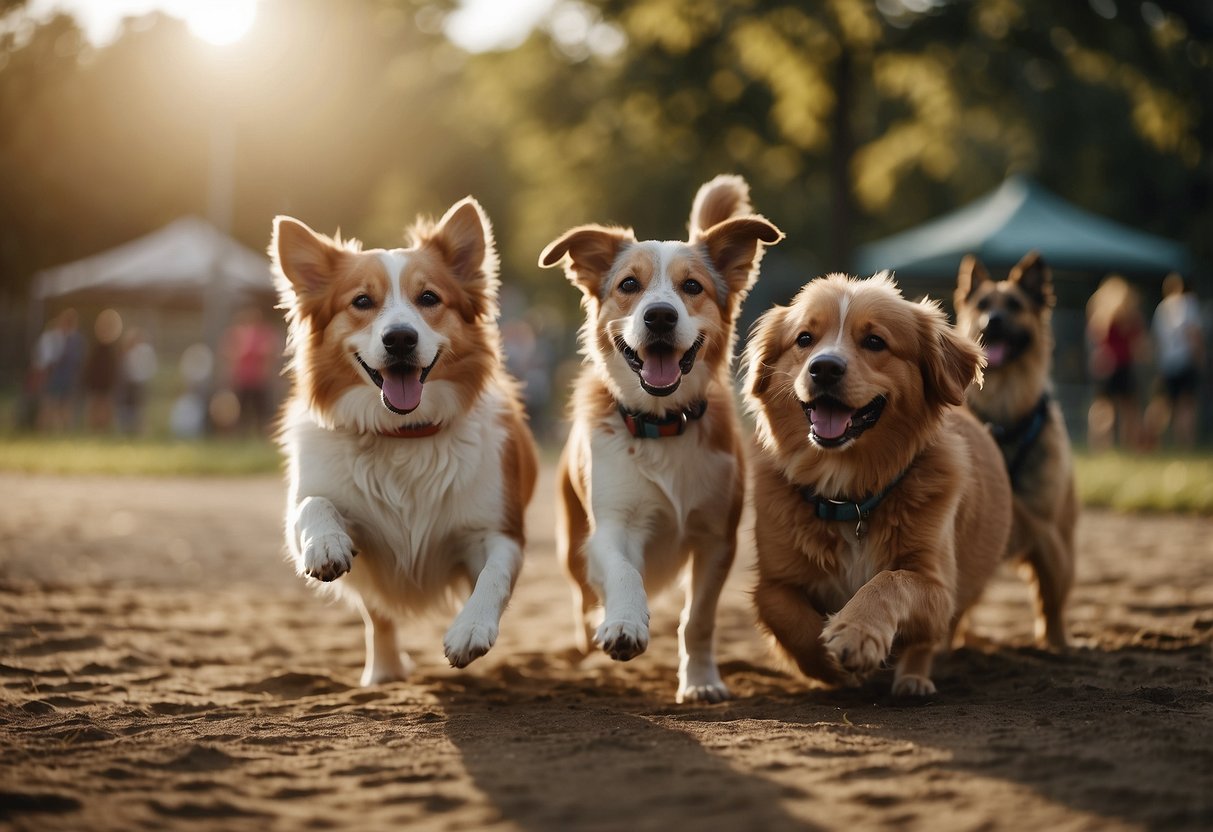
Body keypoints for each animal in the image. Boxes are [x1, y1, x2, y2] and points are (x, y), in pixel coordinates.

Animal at [275, 198, 540, 688]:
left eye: (429, 298)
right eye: (362, 301)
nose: (400, 337)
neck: (405, 434)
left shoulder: (499, 530)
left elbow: (493, 576)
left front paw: (471, 629)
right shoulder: (331, 517)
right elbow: (312, 506)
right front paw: (325, 544)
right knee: (378, 614)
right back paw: (384, 671)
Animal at [540, 177, 786, 703]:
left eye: (692, 286)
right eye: (628, 285)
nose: (658, 316)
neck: (662, 424)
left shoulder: (717, 538)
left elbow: (699, 619)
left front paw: (700, 681)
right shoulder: (612, 525)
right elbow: (623, 572)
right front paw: (623, 625)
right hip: (571, 541)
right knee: (583, 593)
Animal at [747, 274, 1014, 698]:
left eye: (874, 341)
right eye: (804, 338)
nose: (824, 368)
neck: (849, 497)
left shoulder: (938, 588)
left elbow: (891, 581)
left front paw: (856, 633)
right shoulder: (772, 584)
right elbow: (791, 622)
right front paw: (833, 665)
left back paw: (912, 681)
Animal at [950, 254, 1077, 650]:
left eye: (1015, 306)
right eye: (982, 305)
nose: (993, 321)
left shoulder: (1046, 533)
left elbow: (1051, 599)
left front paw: (1056, 643)